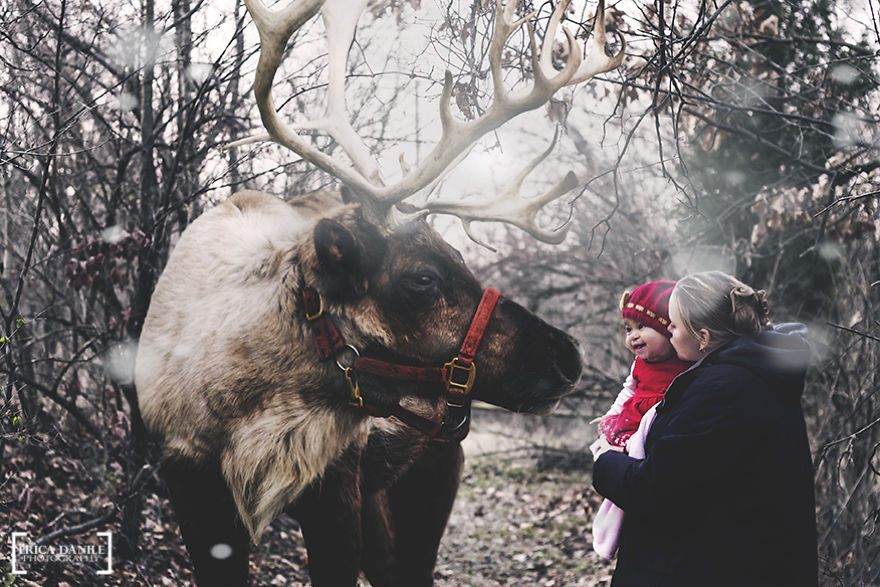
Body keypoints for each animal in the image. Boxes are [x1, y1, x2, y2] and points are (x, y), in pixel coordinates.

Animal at [134, 0, 624, 585]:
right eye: (423, 278)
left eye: (462, 258)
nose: (569, 356)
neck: (247, 405)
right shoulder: (189, 483)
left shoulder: (336, 484)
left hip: (431, 474)